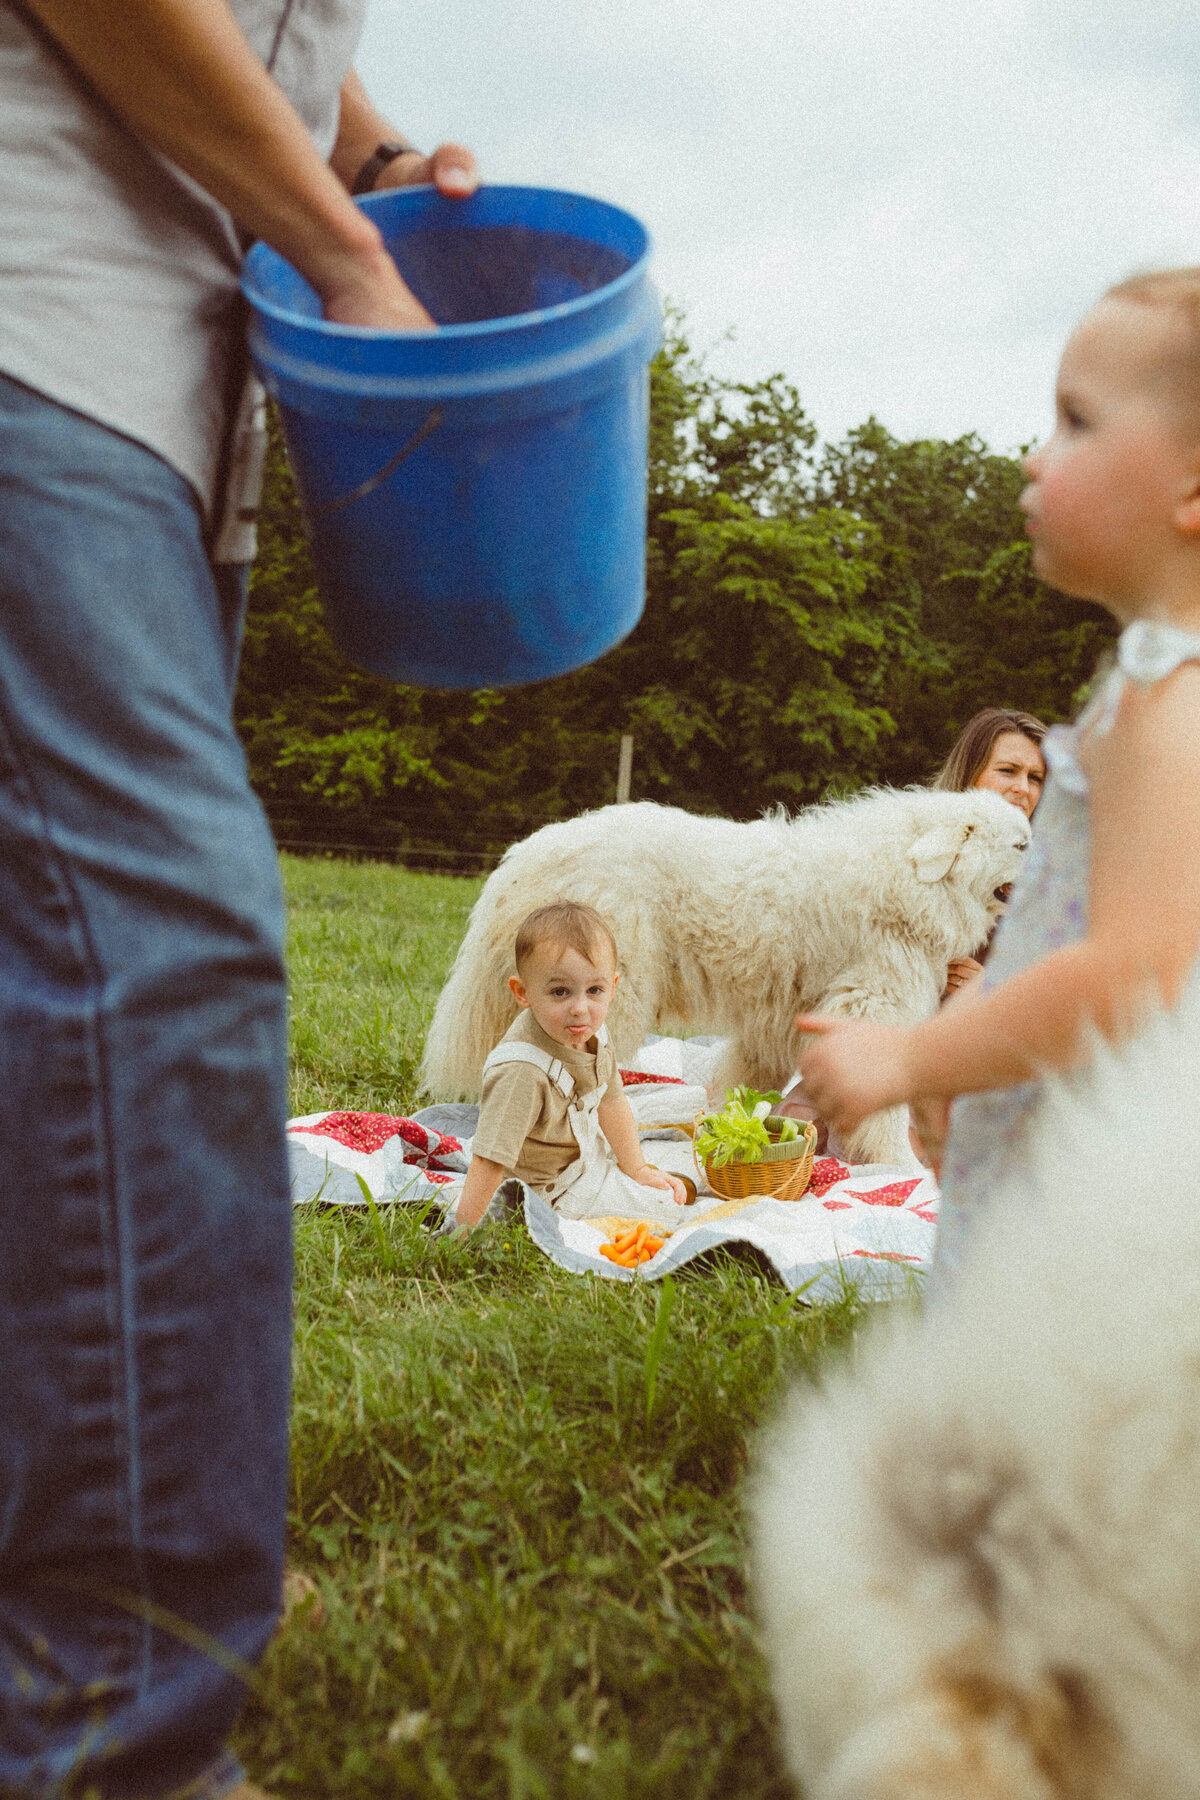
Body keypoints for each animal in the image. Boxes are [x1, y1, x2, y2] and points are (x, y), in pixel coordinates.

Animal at [417, 792, 1029, 1159]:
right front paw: (897, 1165)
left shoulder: (779, 1022)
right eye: (1023, 844)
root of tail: (524, 858)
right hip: (605, 993)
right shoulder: (874, 1004)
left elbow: (744, 1085)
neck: (915, 874)